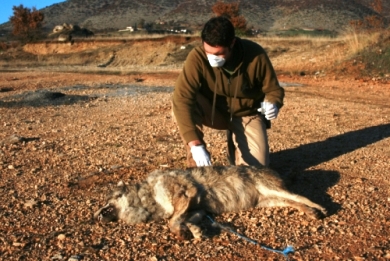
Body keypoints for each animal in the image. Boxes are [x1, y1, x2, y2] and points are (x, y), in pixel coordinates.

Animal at [94, 166, 326, 239]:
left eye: (107, 199)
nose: (94, 215)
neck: (148, 196)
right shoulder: (196, 208)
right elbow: (183, 220)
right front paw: (196, 231)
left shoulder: (185, 195)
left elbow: (171, 221)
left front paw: (183, 232)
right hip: (270, 201)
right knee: (295, 203)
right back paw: (311, 213)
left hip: (273, 190)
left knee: (302, 197)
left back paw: (320, 208)